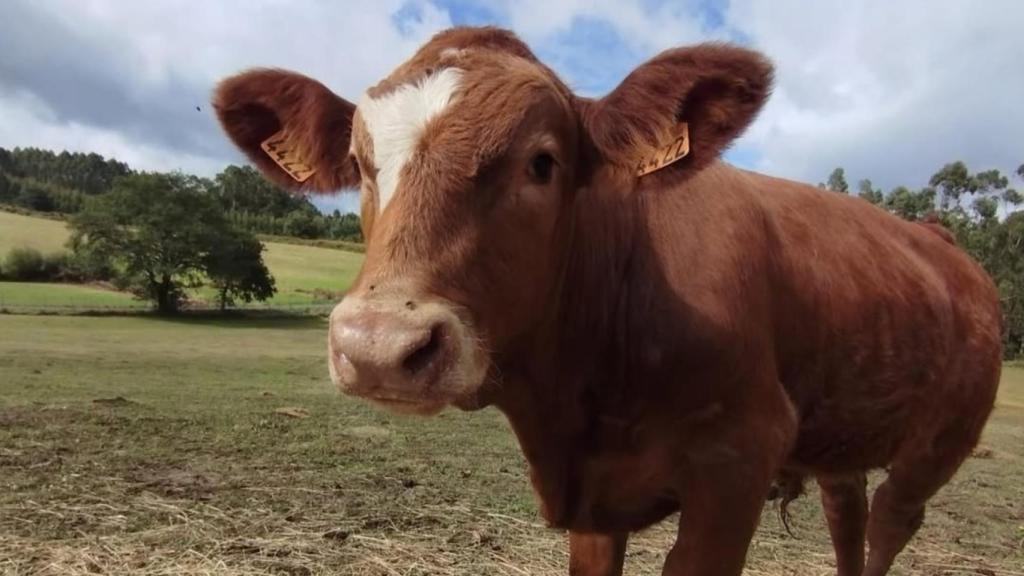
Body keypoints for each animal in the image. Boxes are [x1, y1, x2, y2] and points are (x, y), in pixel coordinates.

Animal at [213, 26, 1002, 576]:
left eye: (543, 162)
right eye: (362, 164)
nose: (378, 346)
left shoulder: (737, 463)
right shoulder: (594, 506)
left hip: (939, 443)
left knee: (890, 524)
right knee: (848, 516)